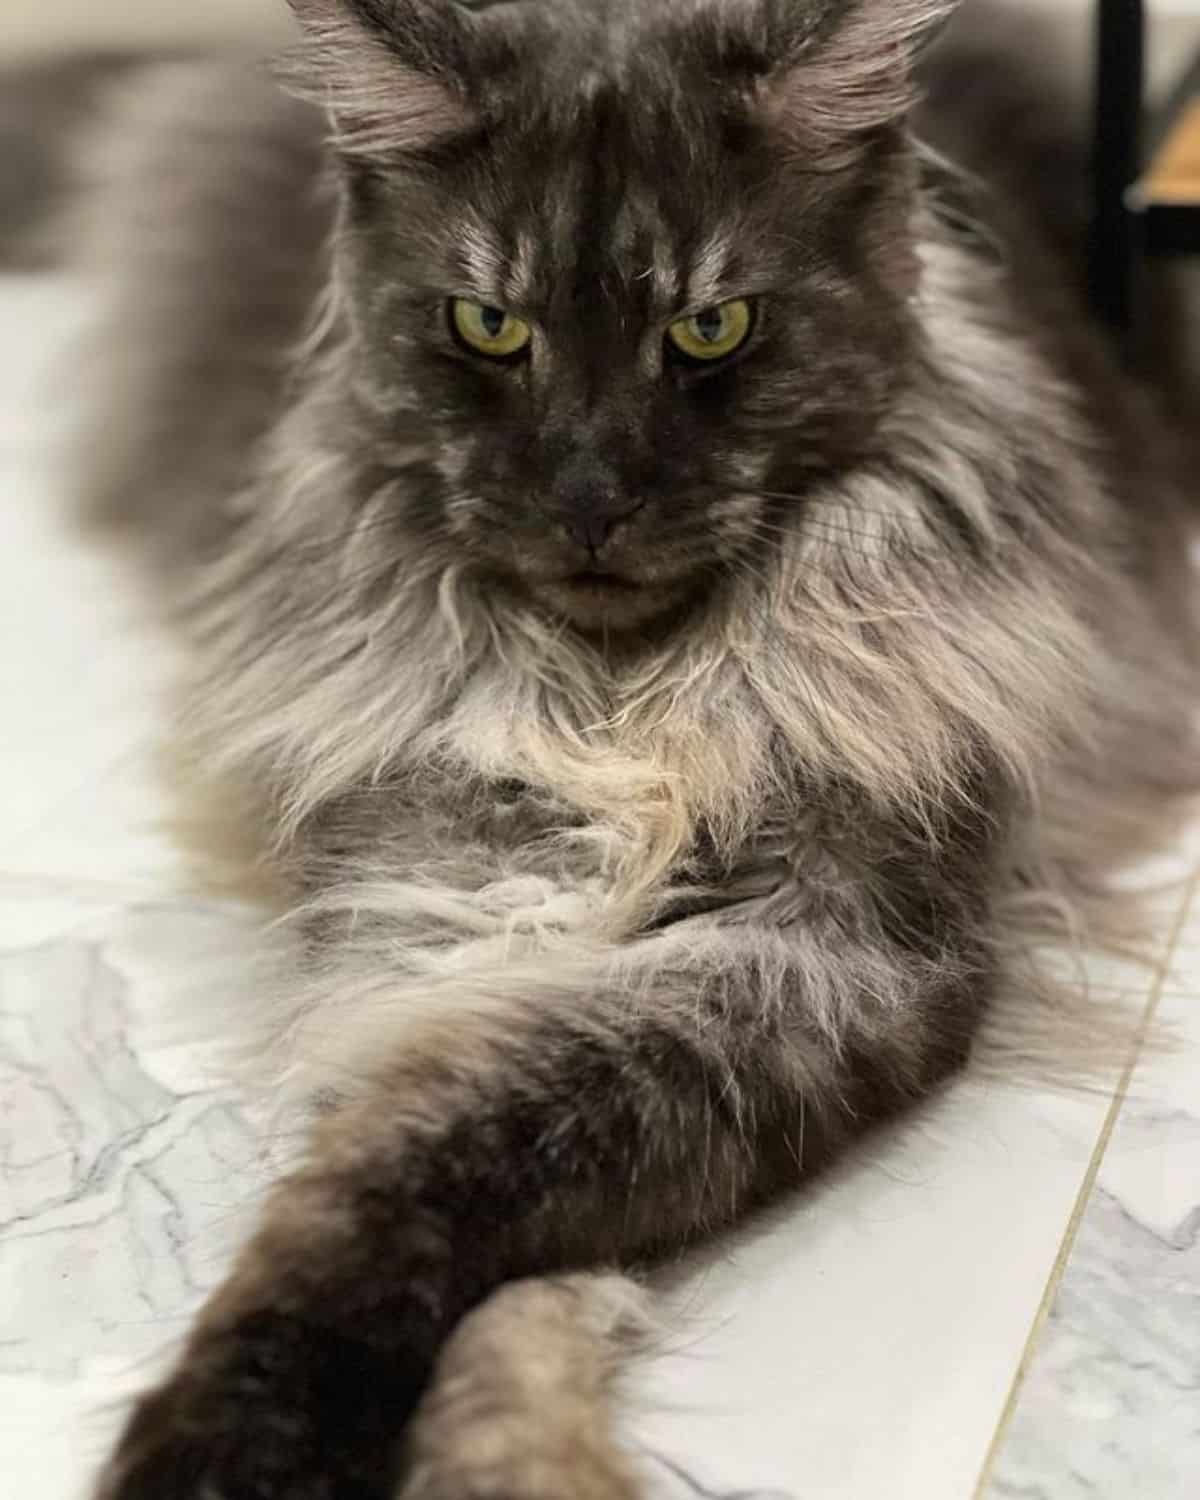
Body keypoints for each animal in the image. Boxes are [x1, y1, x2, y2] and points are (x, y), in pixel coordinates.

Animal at [58, 2, 1200, 1500]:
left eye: (711, 328)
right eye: (490, 326)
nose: (590, 500)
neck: (618, 698)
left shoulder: (828, 948)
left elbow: (476, 1173)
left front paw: (499, 1464)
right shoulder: (440, 920)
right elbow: (402, 1186)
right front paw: (244, 1434)